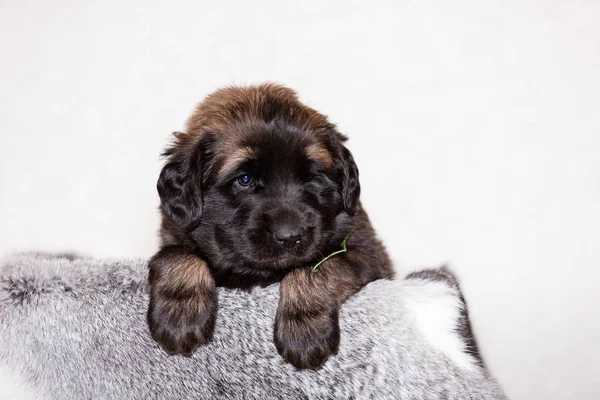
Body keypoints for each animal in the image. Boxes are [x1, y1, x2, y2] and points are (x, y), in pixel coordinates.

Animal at [148, 83, 396, 368]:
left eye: (312, 177)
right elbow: (175, 254)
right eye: (244, 179)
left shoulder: (367, 253)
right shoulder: (173, 233)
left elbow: (317, 267)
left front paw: (304, 329)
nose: (290, 236)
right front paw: (179, 313)